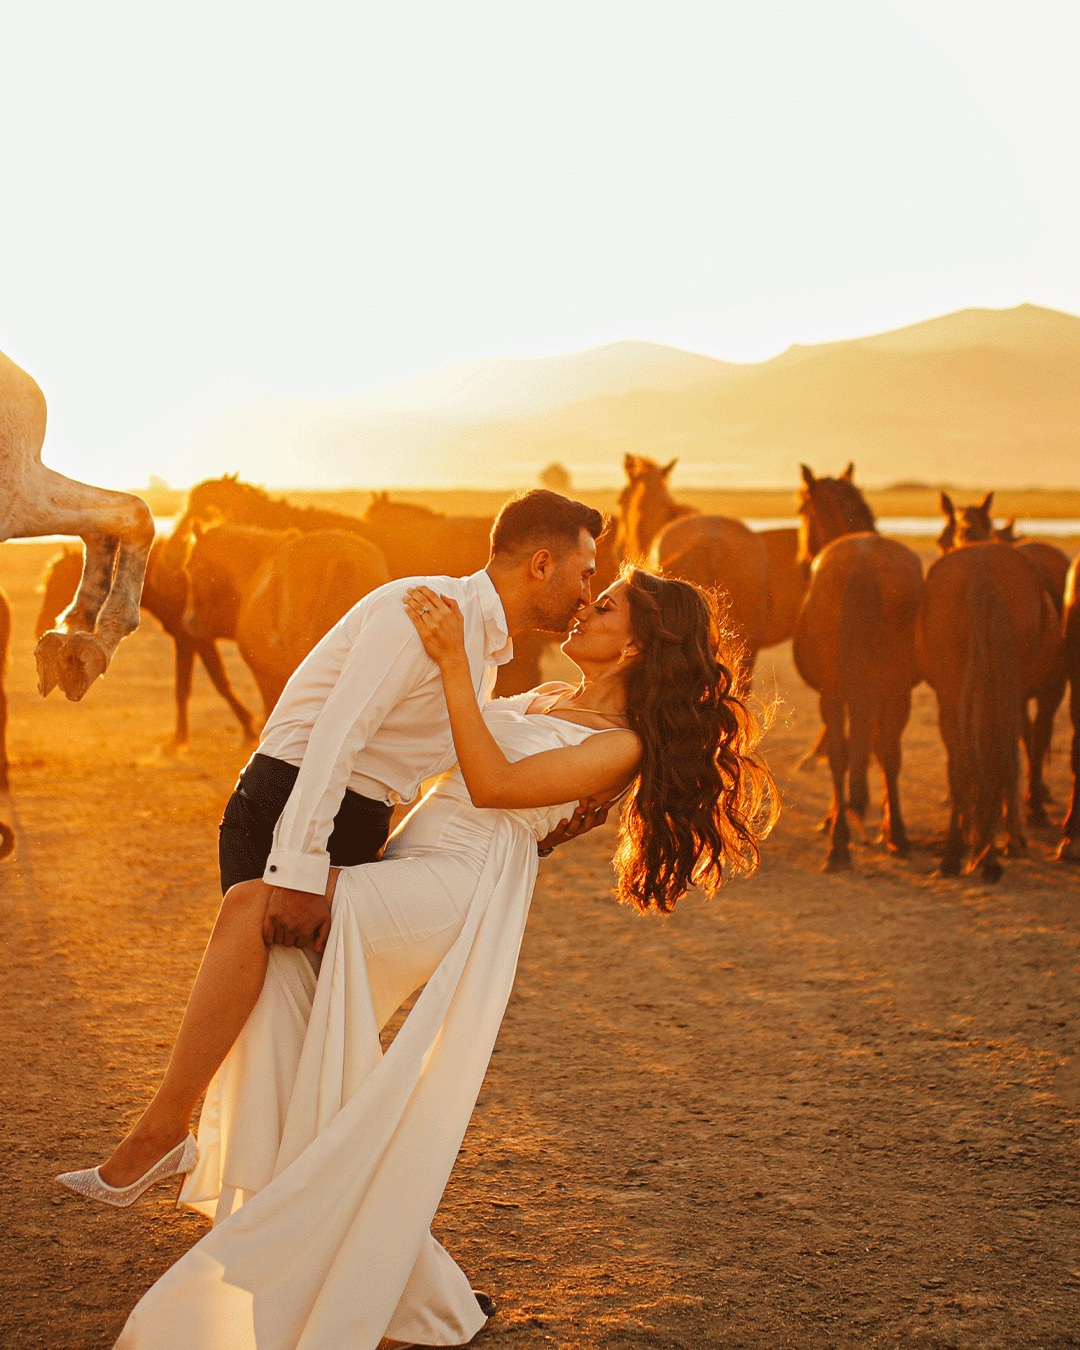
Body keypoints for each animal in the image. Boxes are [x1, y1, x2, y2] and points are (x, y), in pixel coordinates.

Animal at [36, 537, 259, 750]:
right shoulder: (193, 640)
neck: (172, 579)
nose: (40, 628)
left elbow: (208, 684)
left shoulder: (191, 639)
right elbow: (204, 684)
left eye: (58, 582)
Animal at [788, 461, 923, 864]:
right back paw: (890, 836)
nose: (801, 562)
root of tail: (862, 565)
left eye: (801, 510)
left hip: (846, 692)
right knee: (882, 753)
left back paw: (843, 842)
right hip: (890, 690)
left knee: (848, 754)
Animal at [918, 542, 1058, 880]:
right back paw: (985, 855)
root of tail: (983, 572)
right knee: (997, 756)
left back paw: (960, 855)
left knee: (967, 762)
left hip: (955, 696)